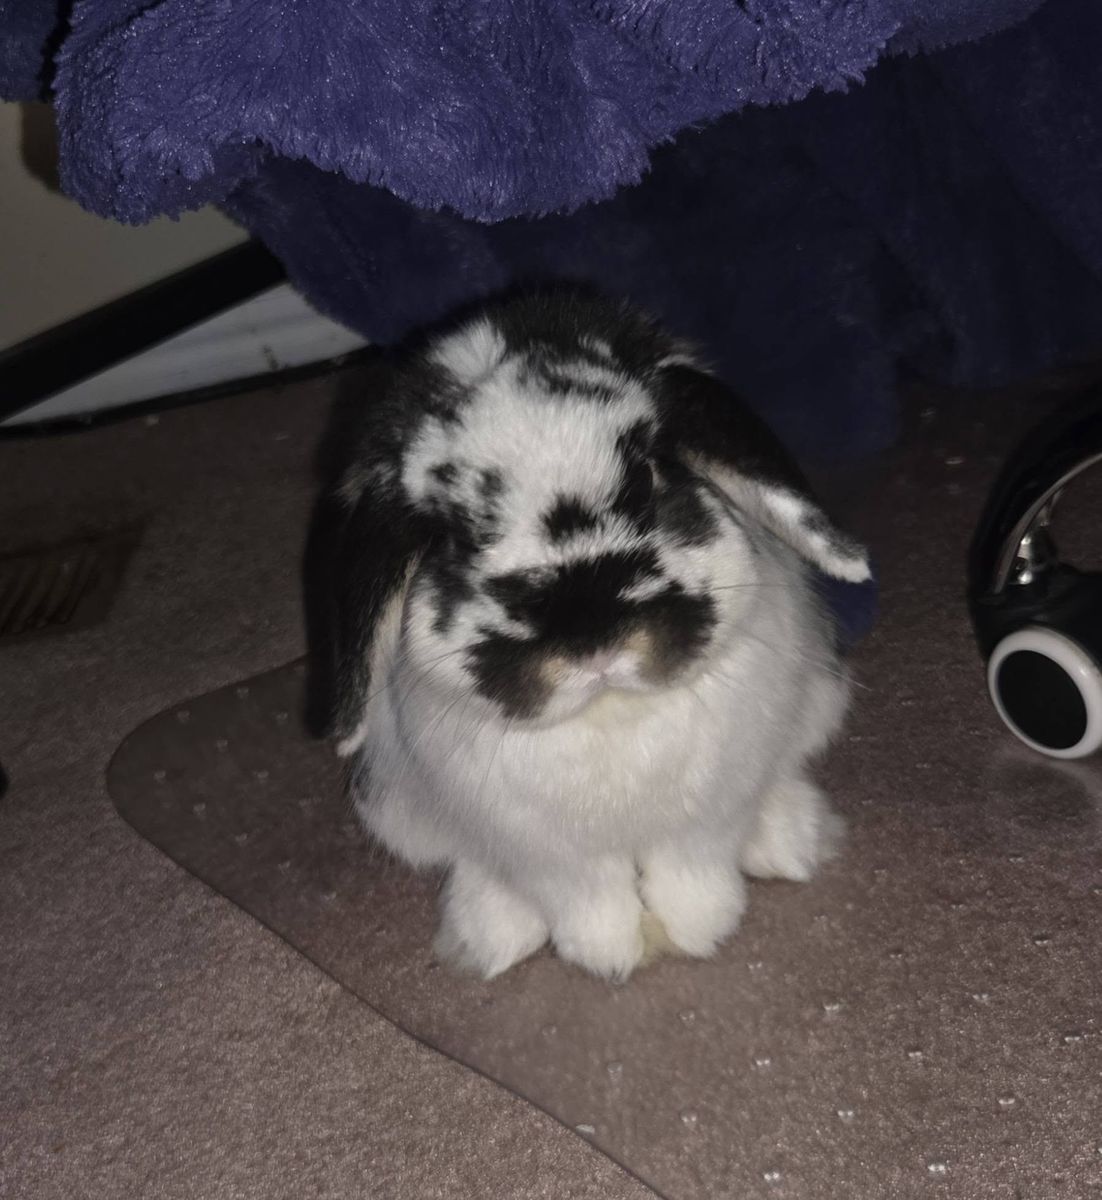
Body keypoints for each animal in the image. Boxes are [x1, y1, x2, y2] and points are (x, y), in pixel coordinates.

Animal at [319, 291, 870, 982]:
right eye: (458, 537)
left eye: (653, 478)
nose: (595, 646)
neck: (611, 710)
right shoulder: (544, 853)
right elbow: (588, 900)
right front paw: (610, 956)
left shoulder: (708, 815)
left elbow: (692, 873)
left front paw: (697, 932)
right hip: (393, 806)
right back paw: (489, 938)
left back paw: (791, 842)